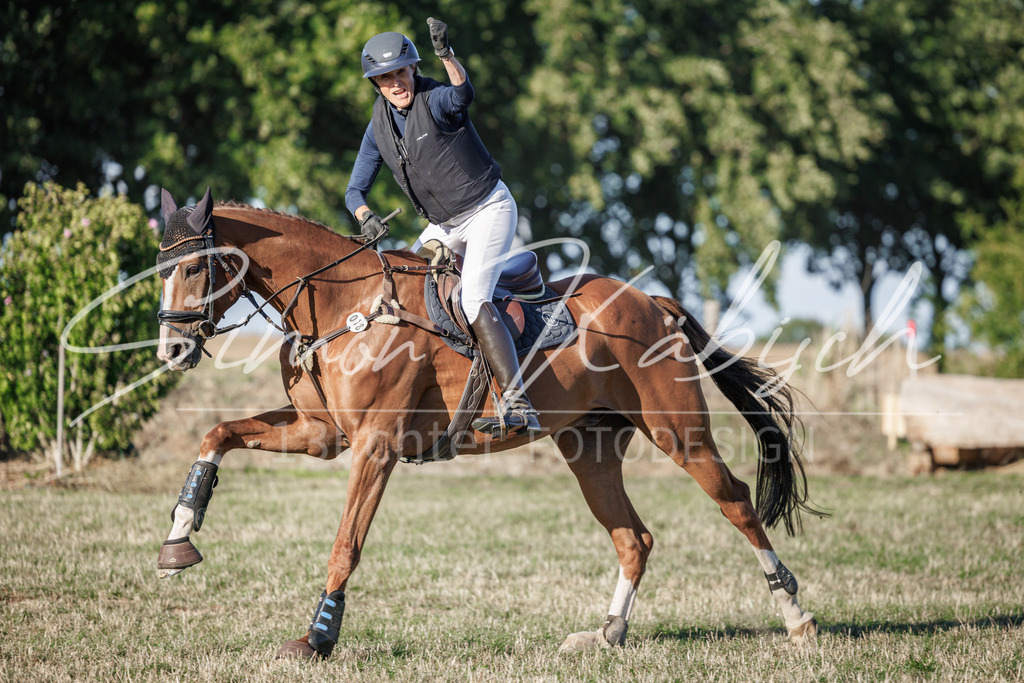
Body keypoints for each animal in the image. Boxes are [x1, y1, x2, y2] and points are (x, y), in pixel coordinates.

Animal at [154, 187, 822, 660]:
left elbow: (346, 544)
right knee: (633, 538)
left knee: (737, 503)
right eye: (160, 270)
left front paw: (318, 638)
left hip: (678, 432)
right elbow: (217, 434)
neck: (346, 305)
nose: (172, 351)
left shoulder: (374, 446)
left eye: (195, 270)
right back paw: (607, 634)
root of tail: (651, 303)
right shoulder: (320, 434)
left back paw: (796, 618)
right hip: (589, 448)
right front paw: (178, 537)